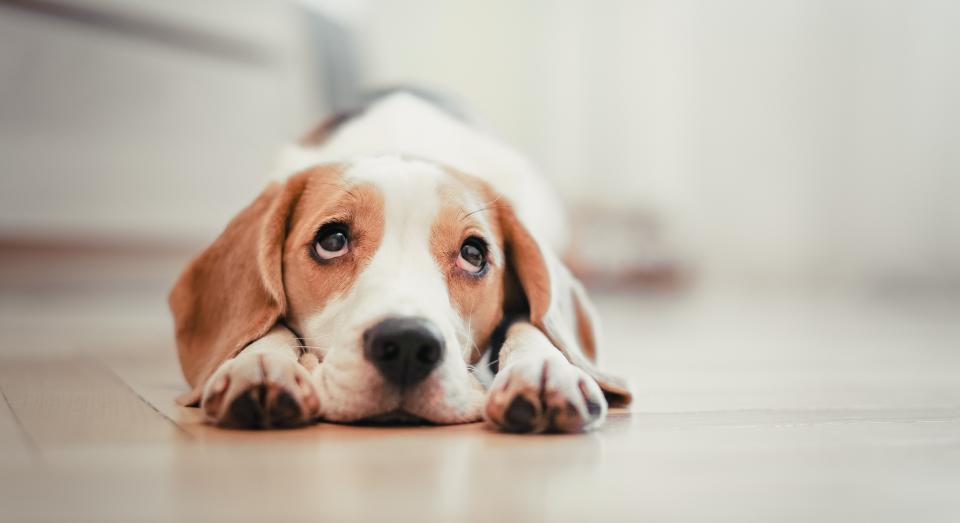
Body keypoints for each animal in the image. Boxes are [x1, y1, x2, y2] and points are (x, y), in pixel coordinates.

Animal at [169, 91, 632, 434]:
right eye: (332, 241)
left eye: (473, 254)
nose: (408, 344)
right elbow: (270, 323)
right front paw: (260, 364)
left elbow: (532, 324)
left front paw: (544, 369)